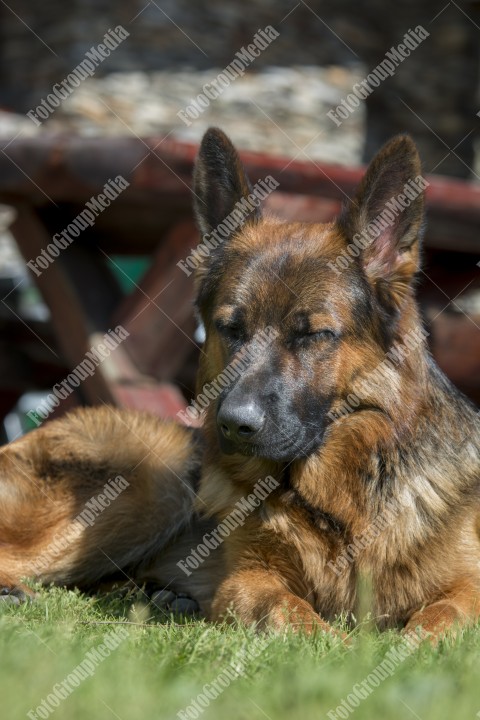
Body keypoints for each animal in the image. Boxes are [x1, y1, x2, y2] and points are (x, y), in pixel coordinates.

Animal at [0, 129, 480, 640]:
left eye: (312, 334)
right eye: (231, 328)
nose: (233, 424)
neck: (335, 508)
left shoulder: (468, 587)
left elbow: (438, 620)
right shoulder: (248, 581)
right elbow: (292, 613)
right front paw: (341, 647)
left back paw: (160, 595)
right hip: (154, 479)